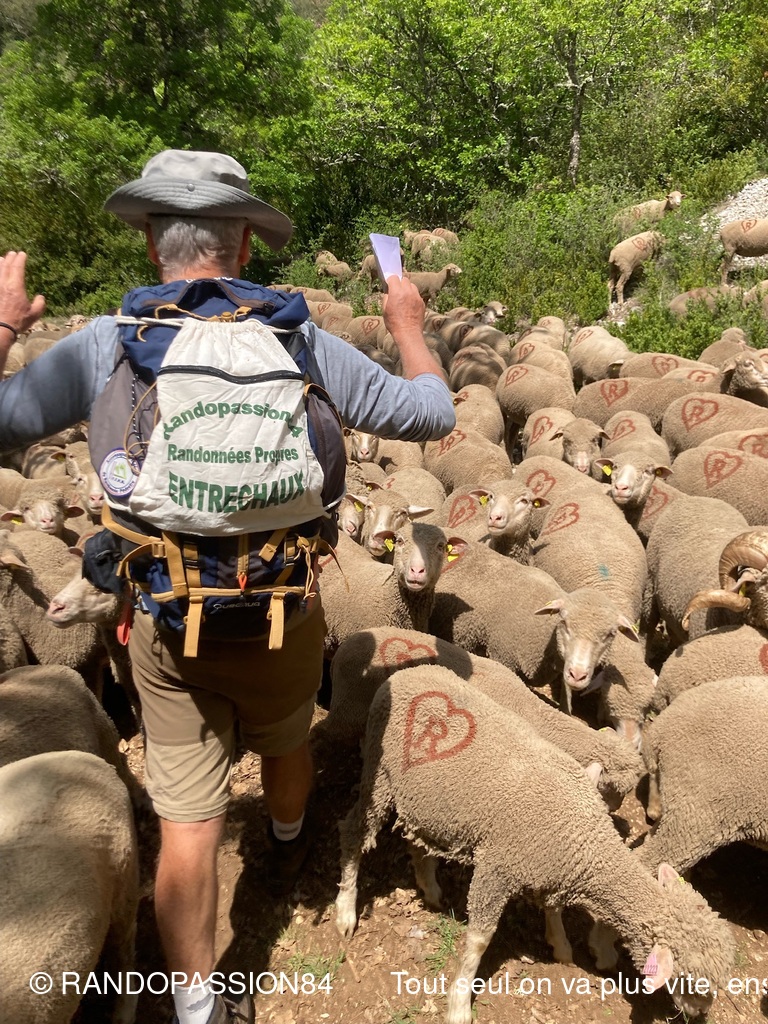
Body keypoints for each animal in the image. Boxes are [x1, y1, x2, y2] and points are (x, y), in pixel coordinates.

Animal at [336, 667, 734, 1024]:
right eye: (693, 980)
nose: (700, 1014)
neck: (586, 842)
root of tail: (404, 674)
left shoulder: (547, 865)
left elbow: (553, 908)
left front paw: (561, 945)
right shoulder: (497, 869)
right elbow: (479, 942)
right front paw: (459, 1003)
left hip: (427, 801)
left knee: (417, 841)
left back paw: (429, 887)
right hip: (378, 775)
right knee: (353, 832)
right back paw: (345, 911)